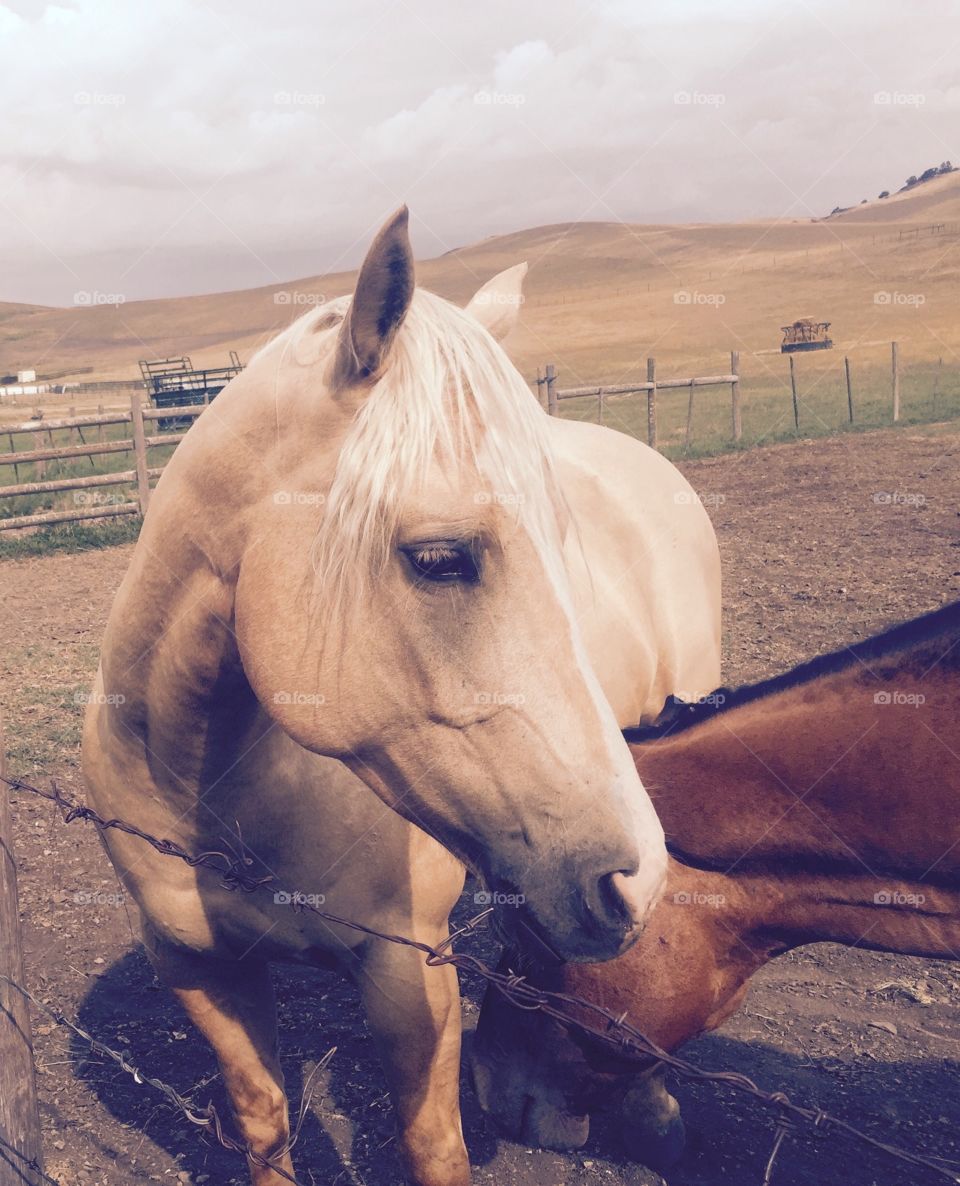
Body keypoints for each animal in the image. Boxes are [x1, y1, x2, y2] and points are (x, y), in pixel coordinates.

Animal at [82, 208, 721, 1181]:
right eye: (440, 558)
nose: (633, 877)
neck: (217, 791)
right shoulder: (197, 966)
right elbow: (263, 1122)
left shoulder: (407, 974)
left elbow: (432, 1145)